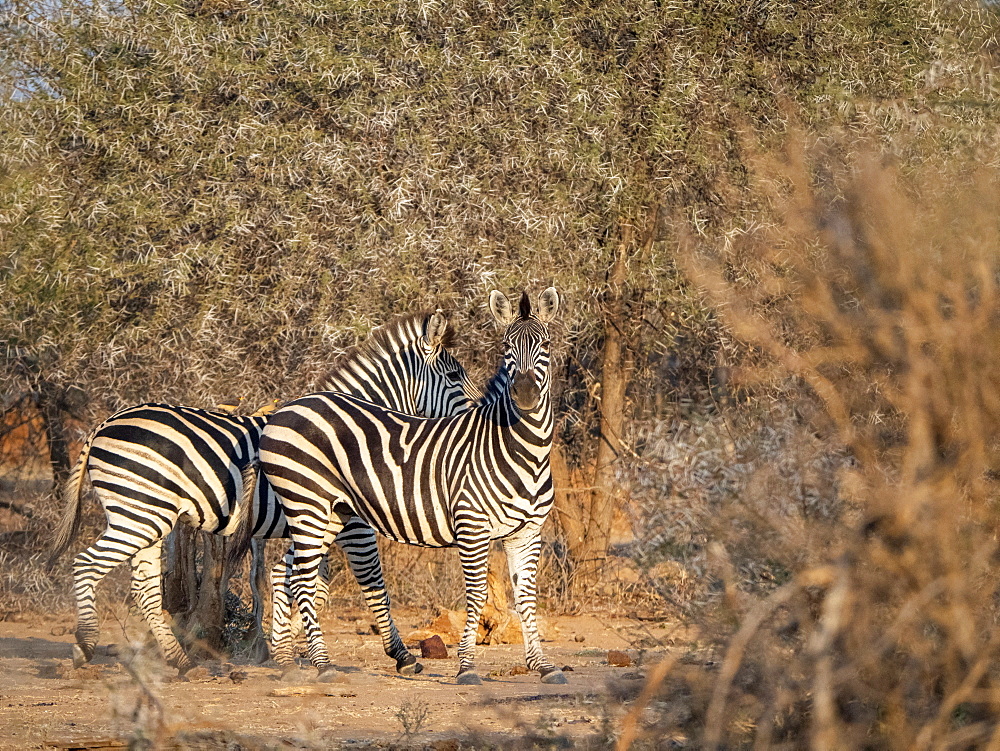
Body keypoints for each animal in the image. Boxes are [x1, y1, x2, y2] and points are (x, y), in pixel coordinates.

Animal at [48, 312, 478, 676]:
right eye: (454, 376)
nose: (481, 412)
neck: (360, 432)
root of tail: (105, 422)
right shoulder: (352, 523)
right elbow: (368, 583)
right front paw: (400, 656)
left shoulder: (315, 523)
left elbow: (296, 583)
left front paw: (283, 649)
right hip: (138, 514)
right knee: (87, 564)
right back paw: (85, 646)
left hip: (148, 516)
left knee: (145, 588)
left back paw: (180, 660)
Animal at [230, 290, 568, 688]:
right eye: (506, 348)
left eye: (546, 345)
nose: (525, 393)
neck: (520, 450)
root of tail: (285, 410)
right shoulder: (469, 525)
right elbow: (472, 594)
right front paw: (465, 666)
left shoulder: (528, 531)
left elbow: (527, 598)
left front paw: (542, 665)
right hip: (308, 506)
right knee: (302, 580)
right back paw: (322, 664)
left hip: (325, 514)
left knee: (290, 575)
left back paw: (289, 660)